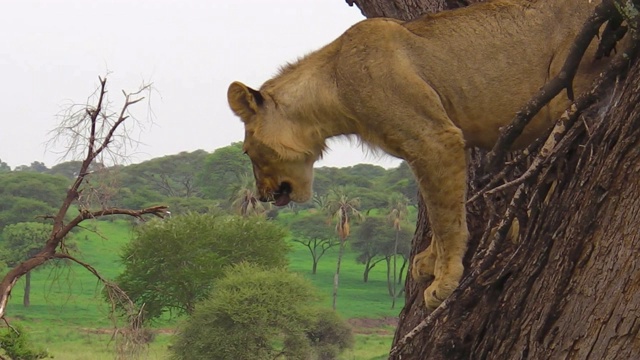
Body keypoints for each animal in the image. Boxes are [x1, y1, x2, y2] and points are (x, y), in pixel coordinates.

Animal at [228, 0, 612, 310]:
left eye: (248, 151)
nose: (261, 196)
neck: (332, 83)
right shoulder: (437, 144)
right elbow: (440, 203)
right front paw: (430, 260)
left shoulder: (434, 138)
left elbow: (444, 216)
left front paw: (445, 280)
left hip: (574, 78)